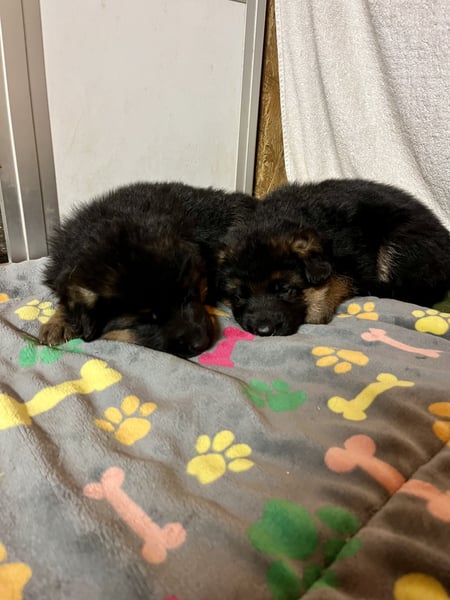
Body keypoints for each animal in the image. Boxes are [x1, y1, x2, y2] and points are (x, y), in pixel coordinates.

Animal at [216, 179, 450, 336]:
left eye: (286, 290)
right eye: (238, 296)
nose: (263, 331)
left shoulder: (353, 261)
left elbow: (335, 282)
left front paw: (317, 308)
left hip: (399, 243)